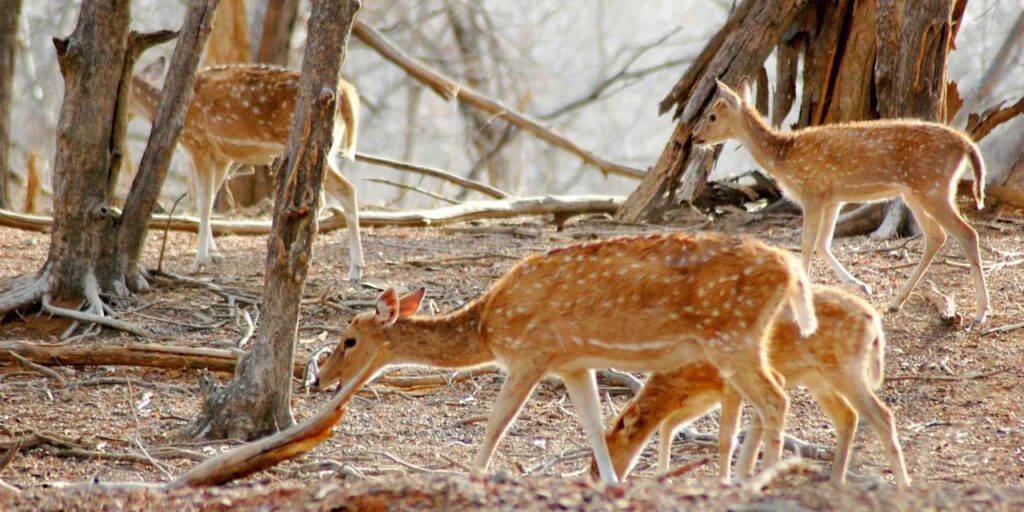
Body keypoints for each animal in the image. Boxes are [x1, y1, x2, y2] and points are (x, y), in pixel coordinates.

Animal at [130, 64, 364, 282]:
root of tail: (346, 92)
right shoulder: (223, 157)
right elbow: (210, 199)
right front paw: (214, 254)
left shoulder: (200, 144)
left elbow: (202, 202)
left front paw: (199, 262)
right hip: (329, 150)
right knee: (336, 192)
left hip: (309, 144)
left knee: (345, 189)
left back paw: (354, 269)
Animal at [311, 234, 815, 481]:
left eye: (349, 340)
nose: (318, 379)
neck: (488, 327)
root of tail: (790, 269)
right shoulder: (573, 363)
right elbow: (594, 426)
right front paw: (609, 482)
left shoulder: (531, 354)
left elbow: (497, 422)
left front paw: (472, 475)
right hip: (741, 340)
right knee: (767, 398)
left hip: (733, 335)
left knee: (776, 398)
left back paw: (763, 476)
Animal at [593, 284, 913, 487]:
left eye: (604, 456)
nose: (593, 478)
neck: (687, 377)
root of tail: (874, 322)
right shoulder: (707, 395)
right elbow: (671, 424)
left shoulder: (731, 385)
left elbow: (727, 436)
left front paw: (727, 479)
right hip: (819, 379)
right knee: (848, 416)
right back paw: (836, 480)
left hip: (846, 370)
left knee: (882, 414)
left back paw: (902, 483)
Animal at [692, 79, 987, 327]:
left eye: (712, 116)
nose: (695, 138)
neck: (783, 157)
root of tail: (966, 144)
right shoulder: (833, 197)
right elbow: (823, 243)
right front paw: (860, 285)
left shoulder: (811, 193)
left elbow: (807, 244)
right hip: (916, 192)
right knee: (936, 236)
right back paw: (895, 303)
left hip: (932, 187)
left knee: (967, 233)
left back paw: (981, 313)